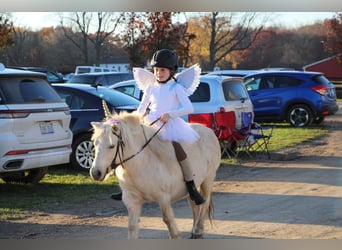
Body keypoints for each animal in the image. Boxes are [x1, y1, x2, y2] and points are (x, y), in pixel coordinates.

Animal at [89, 110, 220, 239]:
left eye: (111, 146)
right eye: (95, 144)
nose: (95, 173)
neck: (141, 163)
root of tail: (209, 131)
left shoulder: (164, 199)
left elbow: (170, 225)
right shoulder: (132, 200)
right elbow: (132, 228)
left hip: (208, 179)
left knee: (205, 202)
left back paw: (198, 230)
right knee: (194, 205)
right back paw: (194, 229)